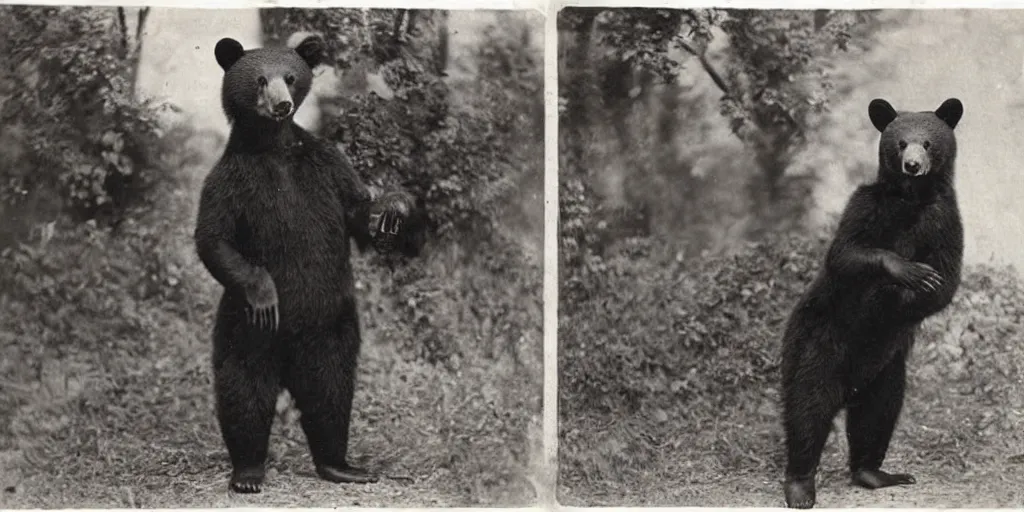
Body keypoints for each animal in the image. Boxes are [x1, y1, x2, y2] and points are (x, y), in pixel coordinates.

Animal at [193, 35, 425, 491]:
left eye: (290, 76)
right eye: (259, 80)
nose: (282, 105)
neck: (274, 145)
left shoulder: (327, 165)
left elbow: (356, 210)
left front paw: (394, 208)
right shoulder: (230, 180)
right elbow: (215, 239)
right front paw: (265, 292)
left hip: (332, 323)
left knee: (331, 387)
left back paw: (341, 465)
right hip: (242, 326)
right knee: (243, 386)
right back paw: (248, 471)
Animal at [778, 97, 962, 509]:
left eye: (928, 143)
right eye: (900, 143)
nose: (913, 165)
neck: (910, 197)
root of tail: (850, 386)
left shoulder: (945, 218)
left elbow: (946, 279)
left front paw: (909, 288)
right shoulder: (866, 205)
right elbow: (846, 252)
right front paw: (908, 272)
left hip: (887, 369)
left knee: (877, 414)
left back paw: (876, 473)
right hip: (816, 345)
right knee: (807, 408)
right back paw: (800, 486)